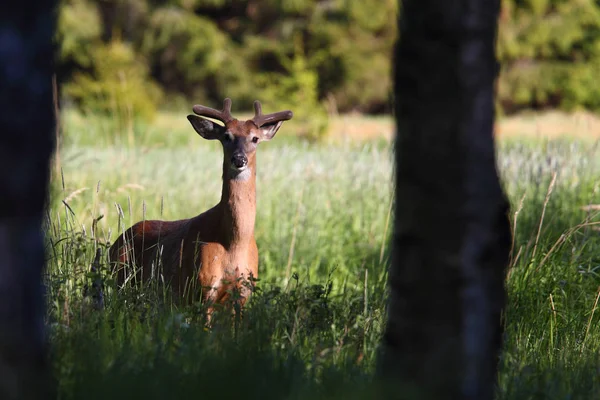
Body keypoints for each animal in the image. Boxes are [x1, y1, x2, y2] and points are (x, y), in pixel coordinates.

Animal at [109, 99, 292, 318]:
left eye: (255, 138)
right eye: (226, 136)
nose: (239, 159)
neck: (233, 243)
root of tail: (115, 242)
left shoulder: (243, 293)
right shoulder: (202, 288)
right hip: (121, 280)